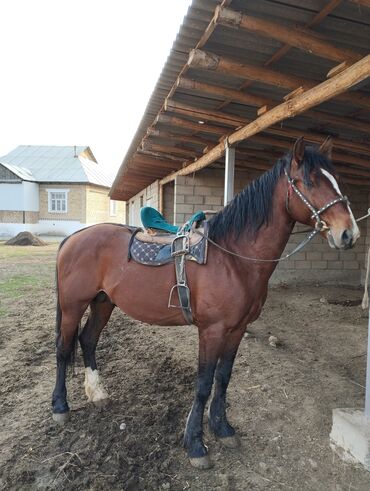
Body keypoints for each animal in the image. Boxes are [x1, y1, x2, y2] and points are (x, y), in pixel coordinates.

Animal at [51, 138, 358, 468]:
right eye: (310, 181)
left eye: (336, 180)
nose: (349, 233)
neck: (233, 258)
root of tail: (73, 238)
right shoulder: (212, 330)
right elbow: (203, 384)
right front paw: (196, 444)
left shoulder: (237, 329)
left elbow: (223, 378)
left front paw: (223, 428)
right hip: (73, 306)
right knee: (63, 348)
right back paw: (60, 407)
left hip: (103, 302)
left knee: (88, 340)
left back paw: (97, 393)